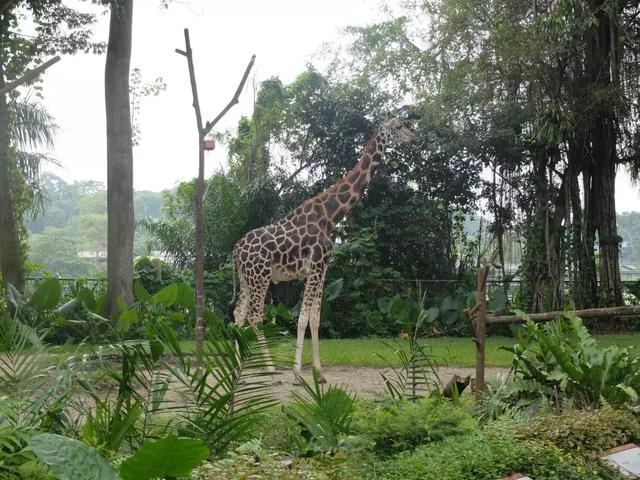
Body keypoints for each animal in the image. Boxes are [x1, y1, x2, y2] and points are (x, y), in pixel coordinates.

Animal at [228, 119, 418, 382]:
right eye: (399, 126)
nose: (415, 138)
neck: (331, 216)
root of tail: (236, 250)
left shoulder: (323, 270)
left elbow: (315, 319)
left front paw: (319, 372)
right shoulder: (315, 267)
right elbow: (302, 318)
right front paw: (297, 371)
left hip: (247, 278)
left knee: (238, 314)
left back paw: (239, 368)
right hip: (260, 276)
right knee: (255, 317)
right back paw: (269, 369)